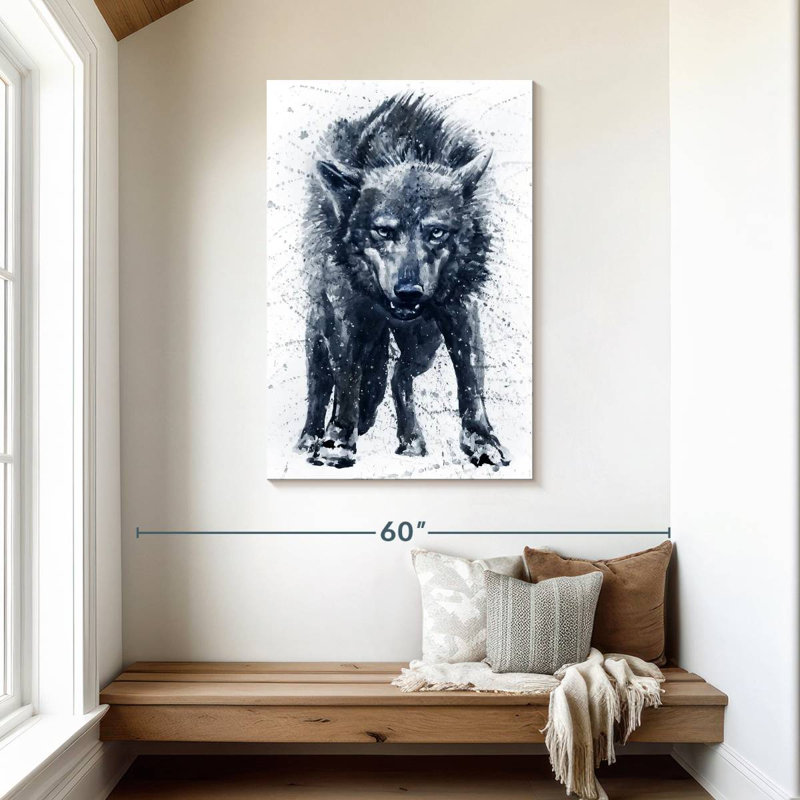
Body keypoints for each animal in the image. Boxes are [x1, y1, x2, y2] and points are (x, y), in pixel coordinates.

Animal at [296, 94, 509, 470]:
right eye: (384, 231)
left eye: (436, 232)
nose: (409, 293)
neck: (402, 149)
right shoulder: (346, 315)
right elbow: (347, 379)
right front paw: (337, 443)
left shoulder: (460, 309)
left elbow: (470, 381)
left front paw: (482, 441)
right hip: (319, 329)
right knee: (320, 385)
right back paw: (309, 438)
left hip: (424, 343)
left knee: (399, 375)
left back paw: (411, 440)